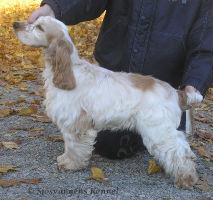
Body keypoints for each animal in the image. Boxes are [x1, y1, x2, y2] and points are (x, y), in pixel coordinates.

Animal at [13, 16, 203, 189]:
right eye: (34, 21)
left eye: (39, 27)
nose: (15, 24)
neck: (70, 71)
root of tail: (176, 92)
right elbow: (69, 146)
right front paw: (64, 159)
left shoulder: (76, 124)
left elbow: (74, 147)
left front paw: (70, 165)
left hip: (159, 131)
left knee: (180, 152)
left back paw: (186, 179)